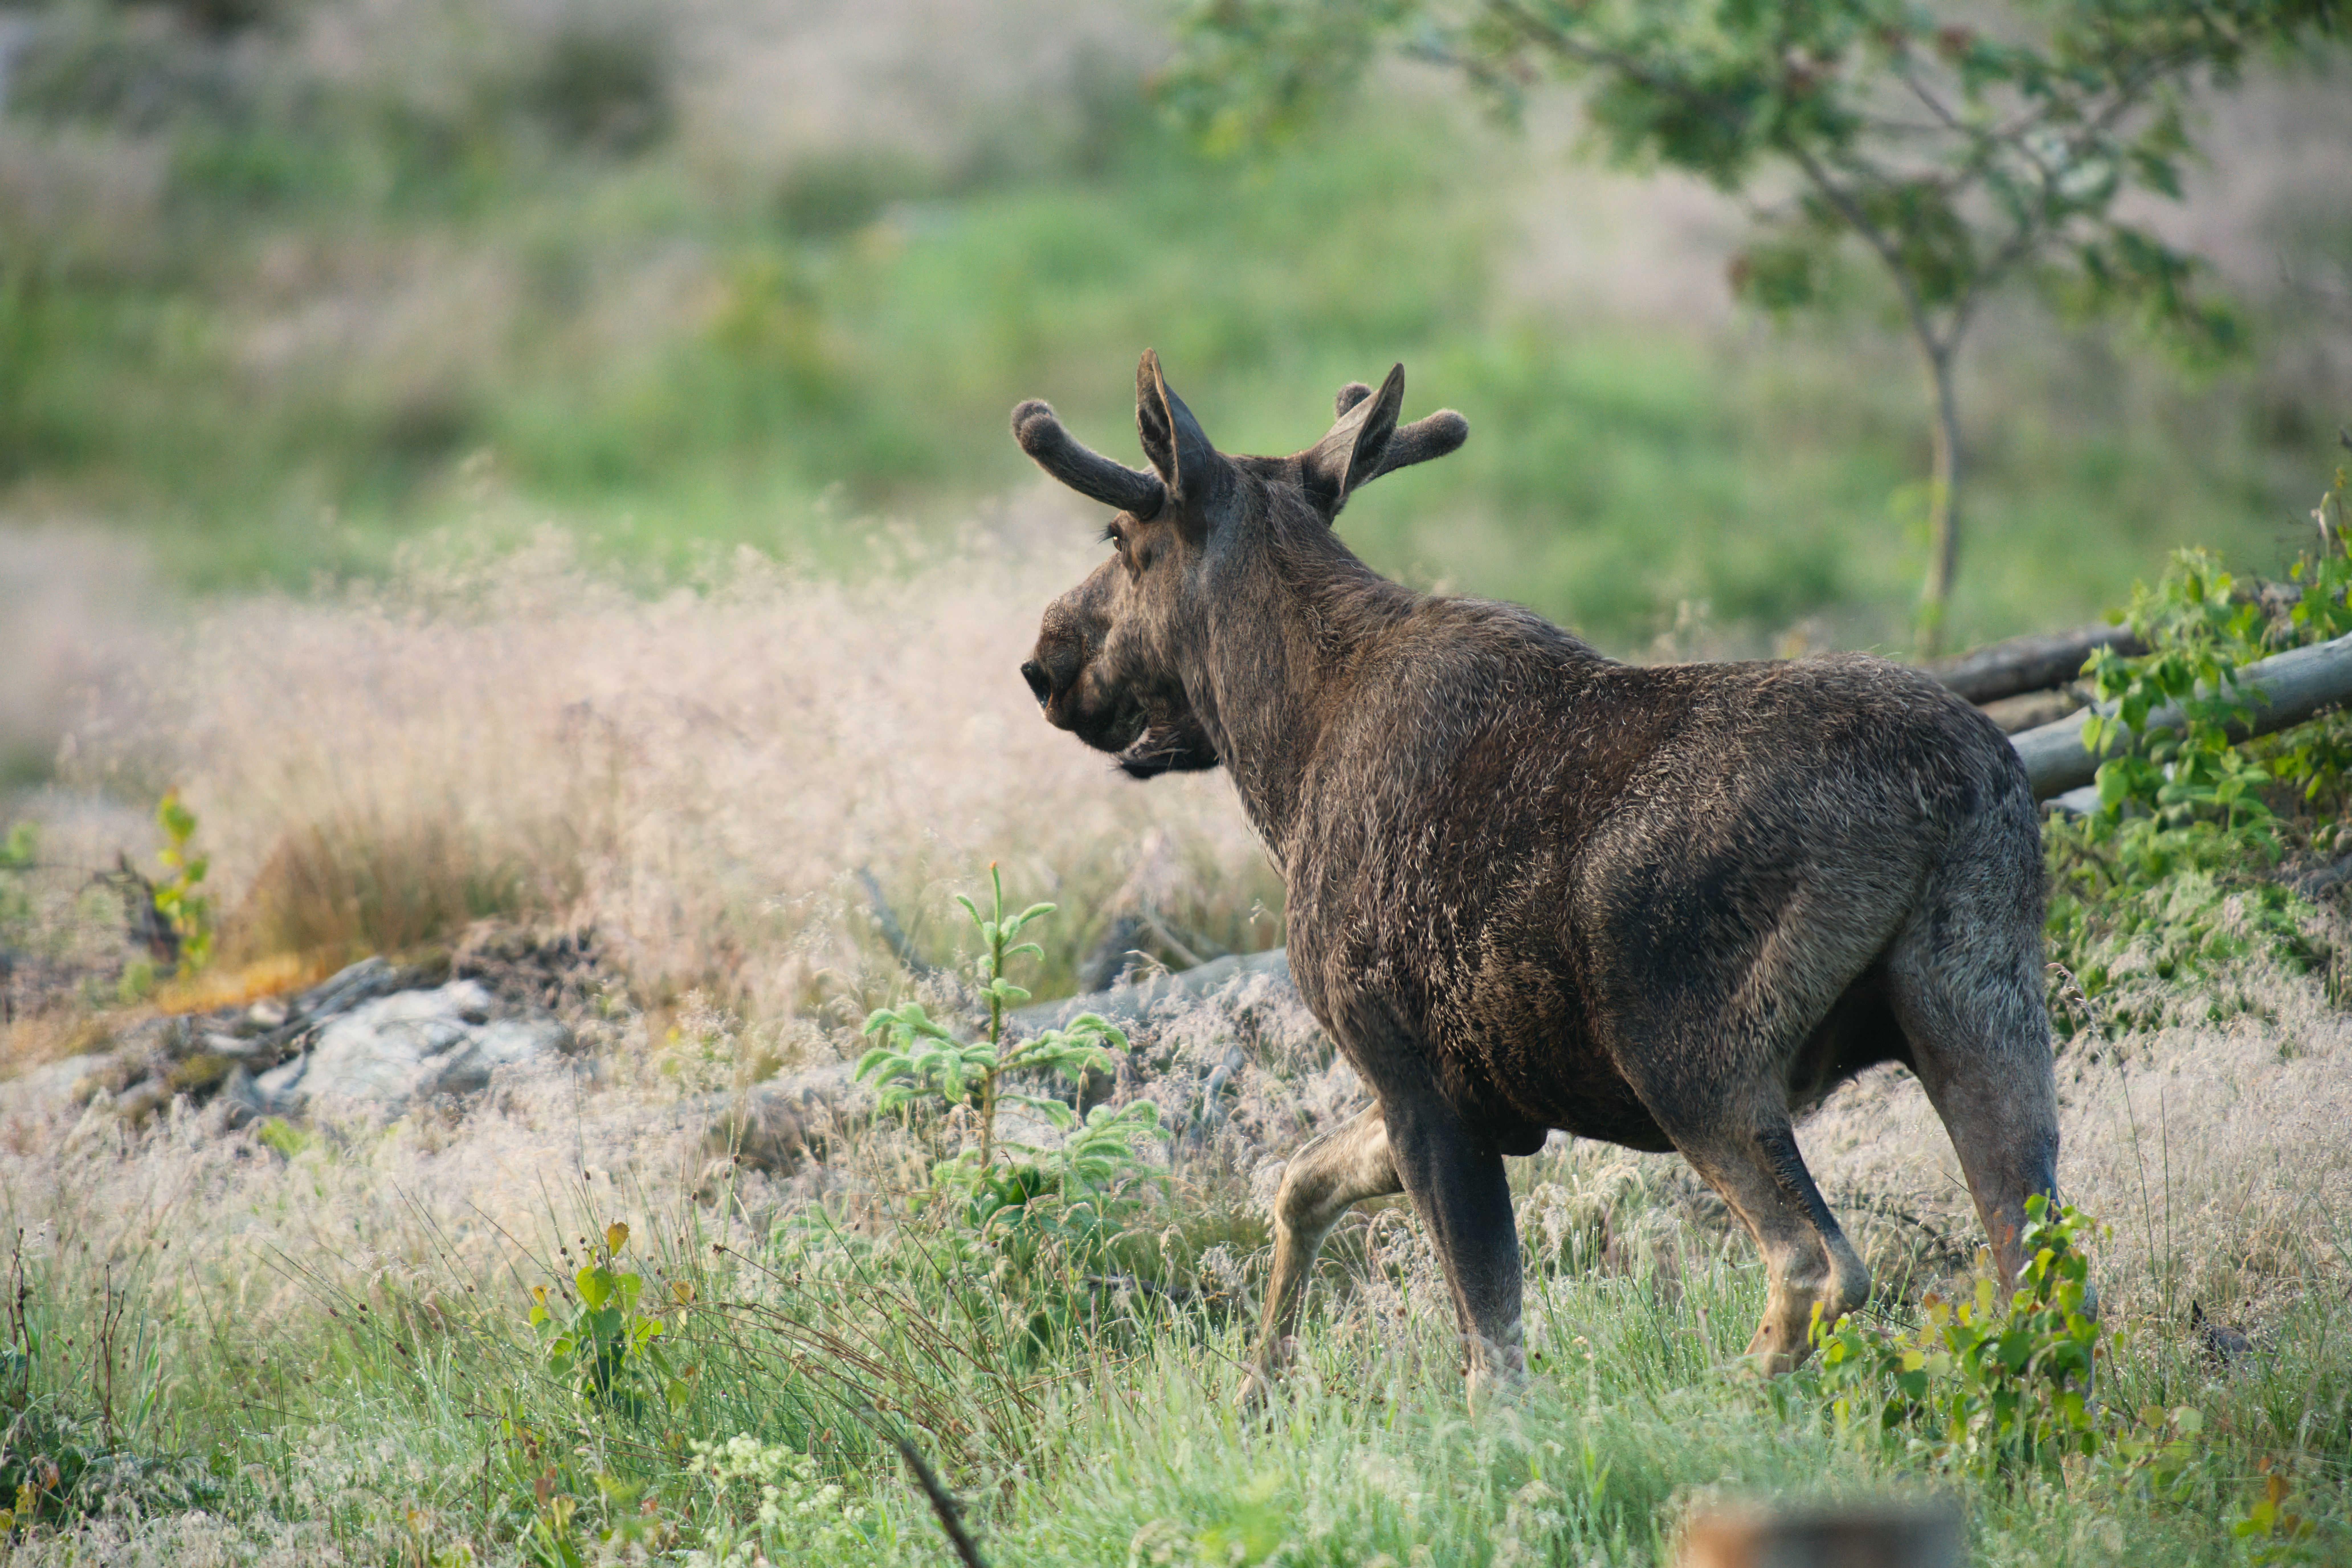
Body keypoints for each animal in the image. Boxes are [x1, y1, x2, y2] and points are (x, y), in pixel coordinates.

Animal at [1013, 352, 2060, 1402]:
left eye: (1120, 537)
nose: (1044, 660)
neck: (1282, 761)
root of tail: (1956, 796)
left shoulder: (1413, 1074)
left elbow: (1491, 1355)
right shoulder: (1476, 1099)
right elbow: (1299, 1181)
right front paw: (1259, 1388)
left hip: (1690, 1056)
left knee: (1817, 1261)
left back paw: (1713, 1400)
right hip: (1980, 1011)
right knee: (2036, 1263)